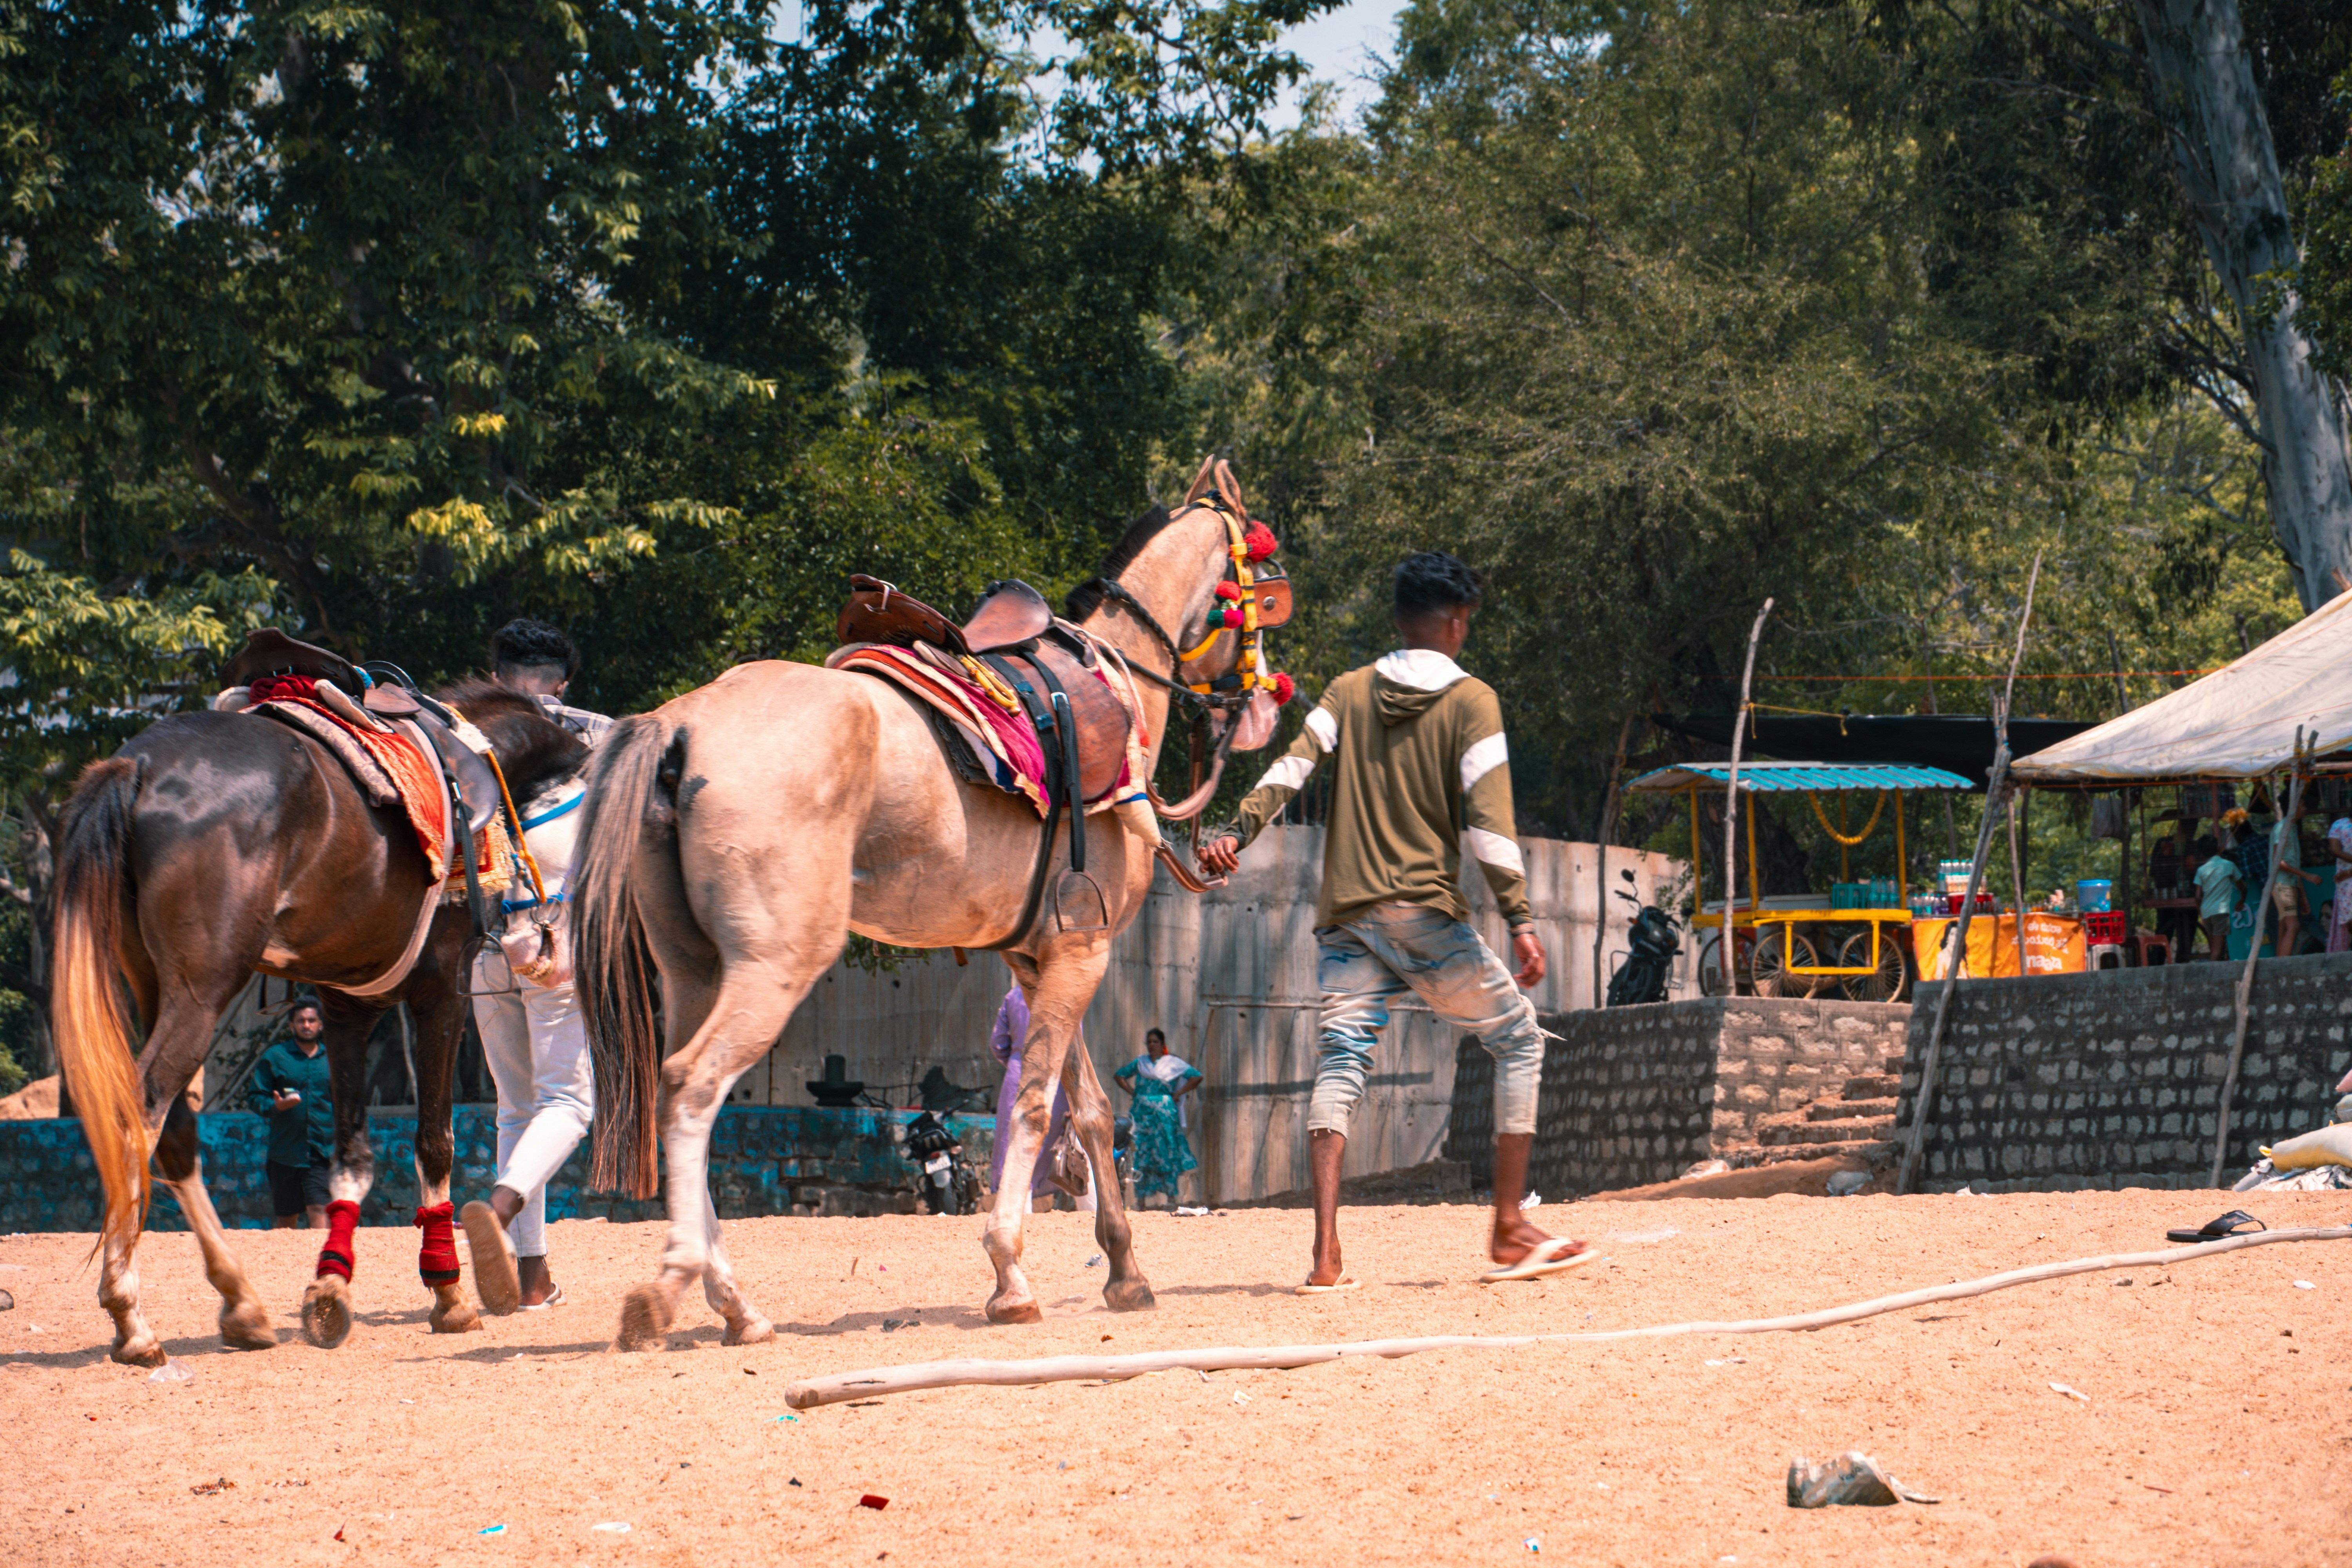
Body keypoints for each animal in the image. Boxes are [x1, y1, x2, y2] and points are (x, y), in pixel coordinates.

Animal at [49, 677, 587, 1365]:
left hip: (150, 984)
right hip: (202, 991)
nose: (551, 951)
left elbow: (352, 1155)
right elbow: (434, 1142)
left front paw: (332, 1284)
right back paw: (131, 1316)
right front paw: (448, 1292)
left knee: (173, 1132)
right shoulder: (441, 991)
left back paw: (240, 1302)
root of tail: (139, 763)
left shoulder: (344, 1007)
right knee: (139, 1110)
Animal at [570, 462, 1277, 1343]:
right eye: (1265, 588)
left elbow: (1089, 1112)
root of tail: (682, 727)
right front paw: (1010, 1274)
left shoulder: (1046, 954)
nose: (1259, 708)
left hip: (693, 968)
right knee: (695, 1086)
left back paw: (737, 1305)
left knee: (673, 1091)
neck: (1118, 683)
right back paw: (676, 1289)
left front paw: (1124, 1271)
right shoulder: (1085, 950)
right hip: (775, 964)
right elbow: (1039, 1106)